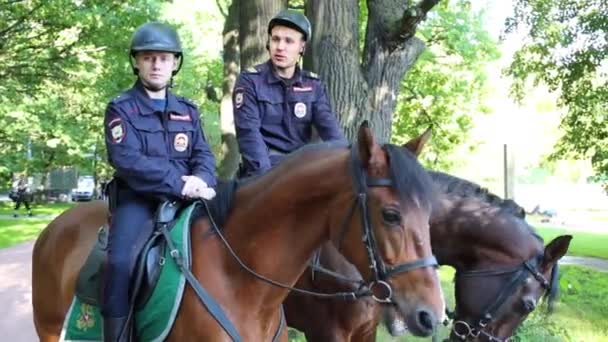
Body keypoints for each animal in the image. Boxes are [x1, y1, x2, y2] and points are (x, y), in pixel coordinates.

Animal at [30, 123, 444, 342]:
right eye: (391, 215)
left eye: (429, 214)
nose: (432, 314)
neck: (239, 277)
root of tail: (54, 228)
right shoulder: (329, 334)